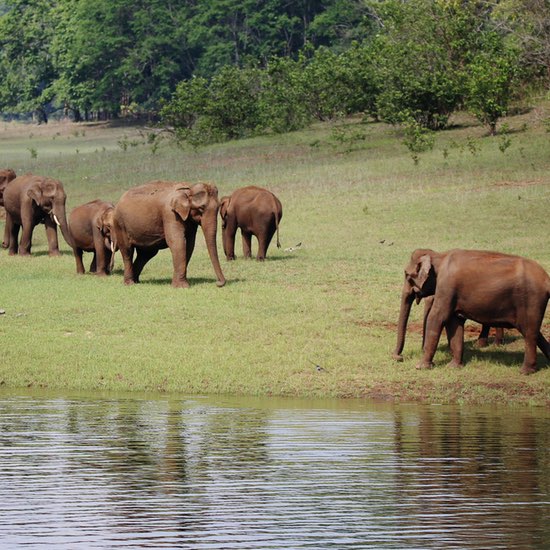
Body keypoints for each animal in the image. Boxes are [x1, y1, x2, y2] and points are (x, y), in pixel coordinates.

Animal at [396, 249, 550, 376]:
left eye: (406, 274)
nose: (399, 358)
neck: (439, 256)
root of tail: (547, 279)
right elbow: (454, 322)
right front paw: (453, 366)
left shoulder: (446, 287)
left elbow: (437, 318)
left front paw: (421, 367)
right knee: (534, 333)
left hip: (532, 300)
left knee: (530, 333)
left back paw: (525, 371)